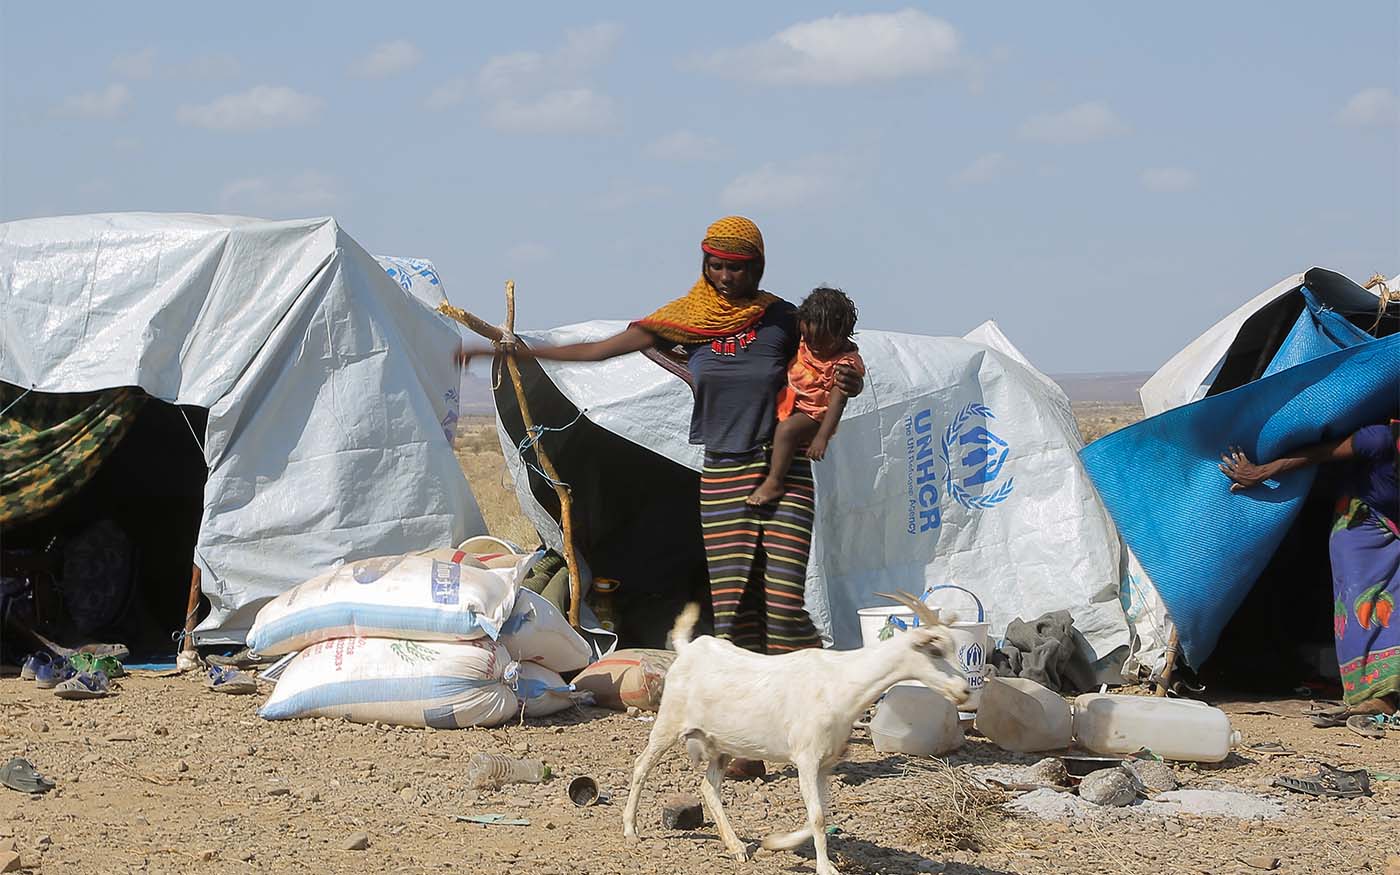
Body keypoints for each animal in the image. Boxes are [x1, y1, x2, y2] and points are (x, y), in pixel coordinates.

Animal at [627, 590, 974, 868]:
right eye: (934, 650)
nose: (965, 690)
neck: (841, 681)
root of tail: (688, 649)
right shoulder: (806, 758)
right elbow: (818, 817)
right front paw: (825, 868)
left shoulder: (826, 763)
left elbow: (823, 813)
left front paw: (777, 842)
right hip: (669, 722)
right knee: (641, 766)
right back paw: (631, 830)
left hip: (722, 744)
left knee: (708, 788)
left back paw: (737, 847)